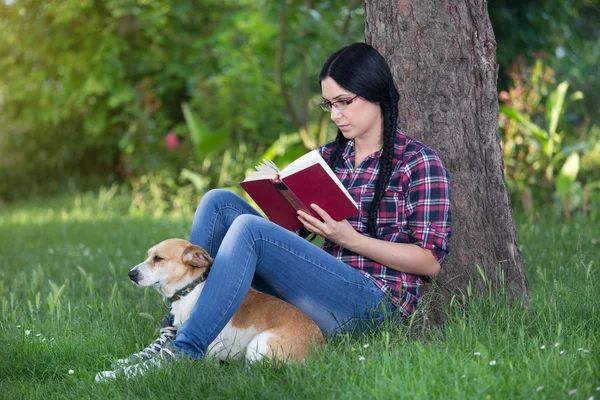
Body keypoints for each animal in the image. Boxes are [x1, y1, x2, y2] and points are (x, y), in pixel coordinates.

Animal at [125, 239, 324, 364]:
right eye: (148, 256)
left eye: (158, 258)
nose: (130, 274)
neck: (191, 289)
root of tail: (320, 350)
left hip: (259, 343)